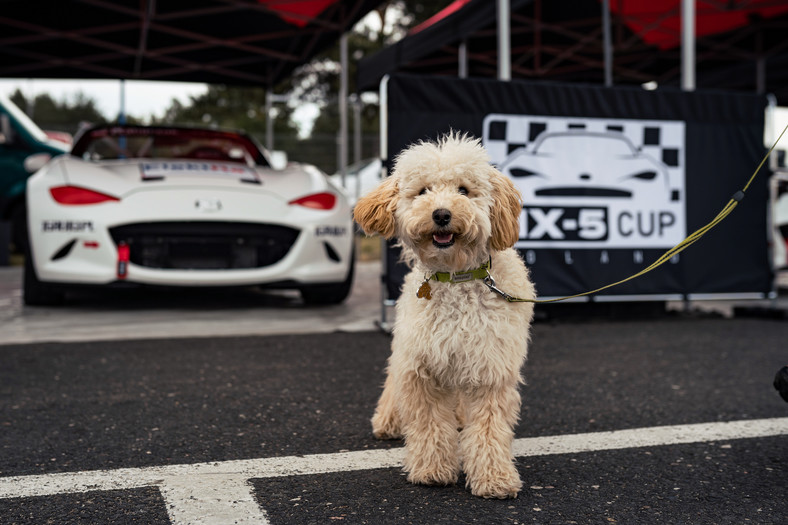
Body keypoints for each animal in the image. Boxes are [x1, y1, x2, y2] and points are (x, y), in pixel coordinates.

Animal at [356, 133, 536, 498]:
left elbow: (489, 429)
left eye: (464, 190)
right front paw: (432, 470)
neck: (456, 278)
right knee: (393, 383)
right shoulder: (421, 366)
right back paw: (388, 420)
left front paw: (494, 477)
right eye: (423, 190)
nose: (441, 214)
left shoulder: (489, 369)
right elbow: (428, 425)